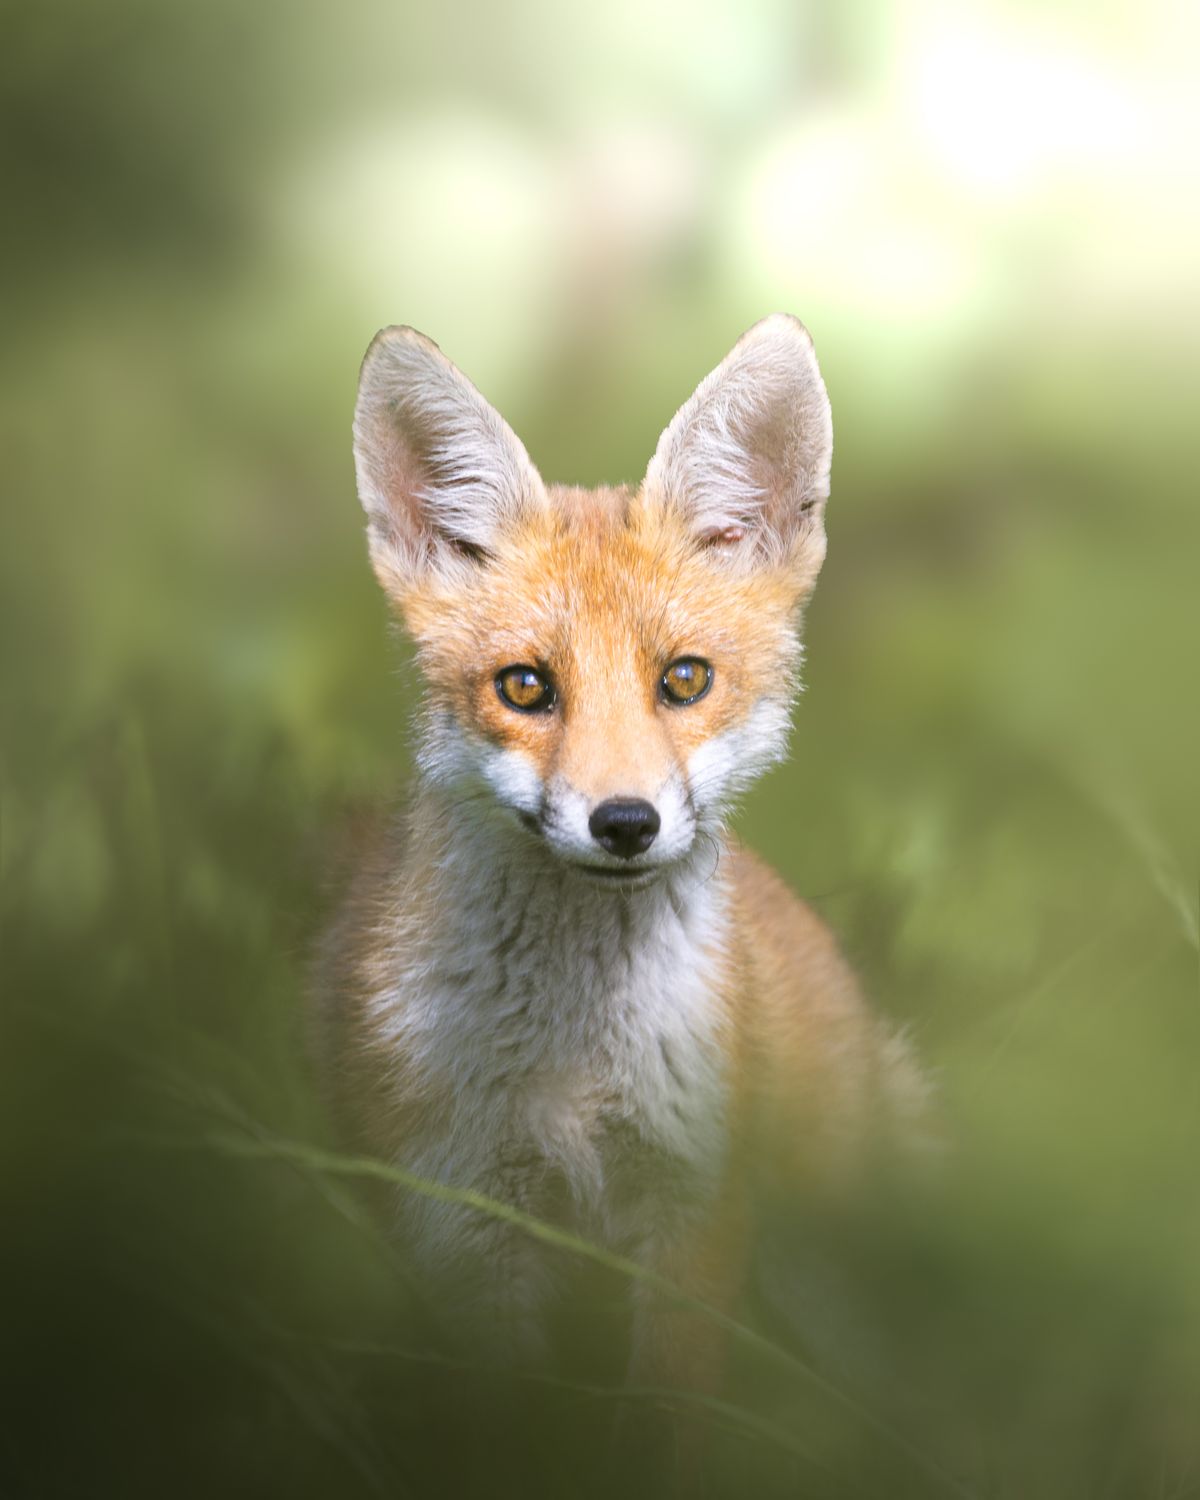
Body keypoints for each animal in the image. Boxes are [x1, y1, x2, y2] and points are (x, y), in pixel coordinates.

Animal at [313, 314, 928, 1445]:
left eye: (683, 680)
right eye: (524, 687)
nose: (626, 823)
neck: (574, 1071)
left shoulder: (694, 1202)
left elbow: (661, 1425)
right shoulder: (462, 1214)